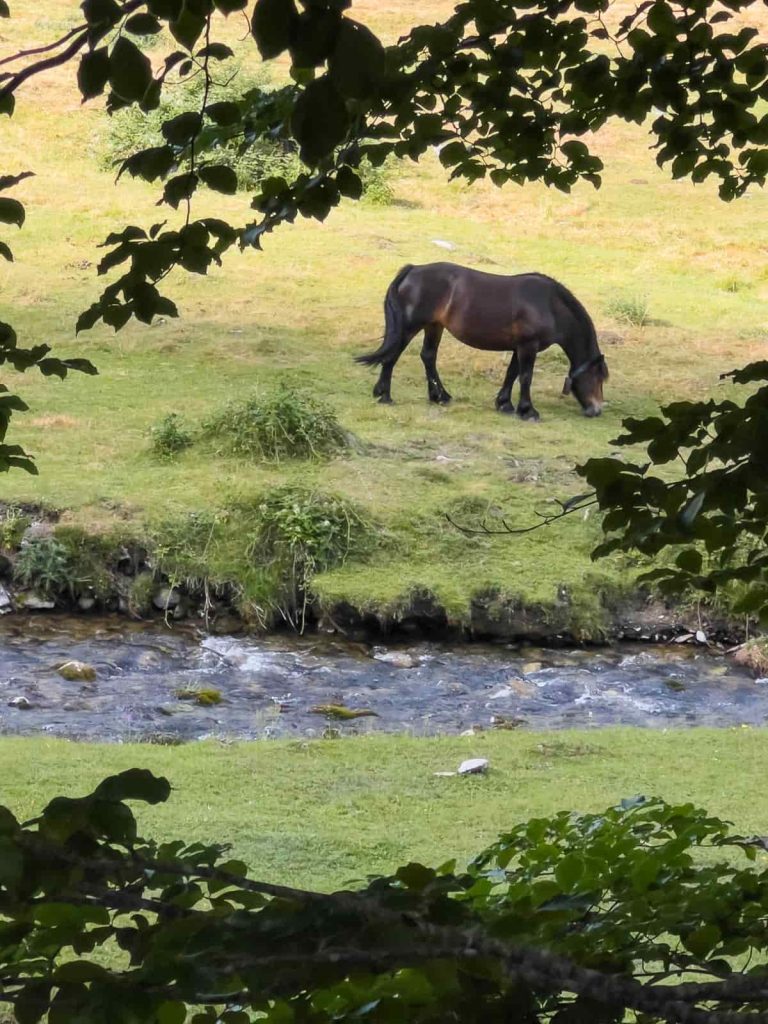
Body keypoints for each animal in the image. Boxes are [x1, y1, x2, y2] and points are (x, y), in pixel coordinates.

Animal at [355, 262, 608, 420]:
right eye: (598, 377)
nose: (596, 410)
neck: (549, 304)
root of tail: (412, 270)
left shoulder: (519, 347)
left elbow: (512, 374)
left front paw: (505, 404)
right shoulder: (529, 346)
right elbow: (526, 377)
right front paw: (528, 411)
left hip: (434, 326)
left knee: (428, 357)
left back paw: (440, 396)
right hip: (410, 327)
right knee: (392, 357)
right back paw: (385, 396)